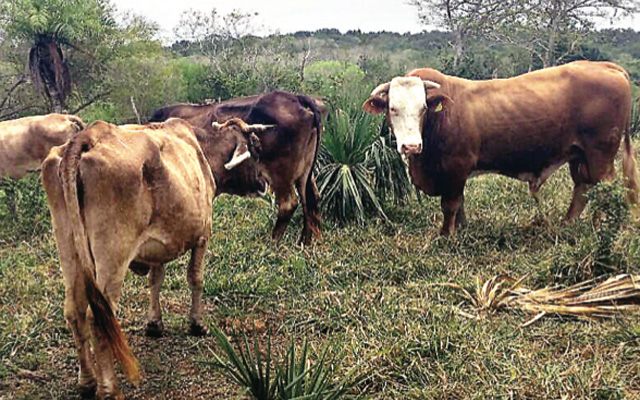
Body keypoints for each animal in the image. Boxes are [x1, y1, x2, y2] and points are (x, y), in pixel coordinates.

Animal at [42, 117, 269, 399]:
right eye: (256, 149)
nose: (264, 183)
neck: (202, 150)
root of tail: (87, 136)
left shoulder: (157, 246)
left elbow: (155, 280)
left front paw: (154, 323)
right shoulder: (203, 234)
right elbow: (196, 279)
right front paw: (197, 324)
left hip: (68, 248)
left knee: (75, 311)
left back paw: (87, 381)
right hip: (112, 255)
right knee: (99, 317)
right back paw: (110, 388)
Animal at [149, 91, 324, 245]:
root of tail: (298, 98)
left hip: (281, 174)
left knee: (289, 204)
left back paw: (272, 243)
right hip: (304, 173)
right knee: (311, 199)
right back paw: (305, 244)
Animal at [362, 61, 639, 235]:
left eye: (423, 108)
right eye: (392, 108)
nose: (411, 146)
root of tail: (604, 65)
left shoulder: (456, 166)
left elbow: (450, 205)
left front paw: (445, 236)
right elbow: (460, 203)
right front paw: (461, 230)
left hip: (600, 155)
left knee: (604, 188)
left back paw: (599, 227)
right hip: (579, 154)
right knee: (583, 188)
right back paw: (567, 224)